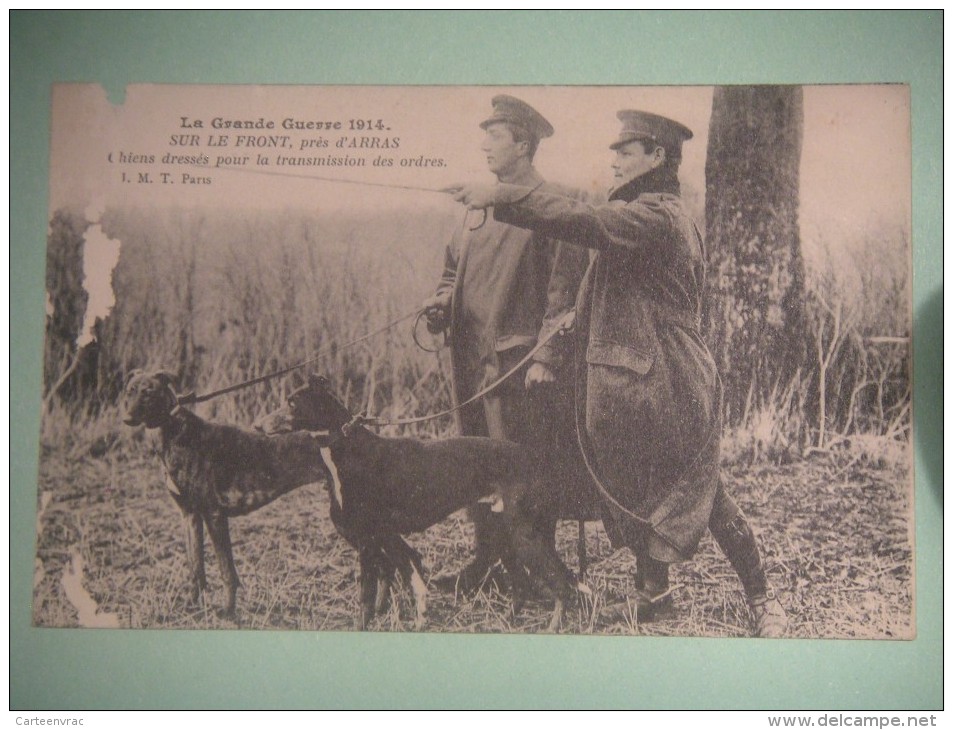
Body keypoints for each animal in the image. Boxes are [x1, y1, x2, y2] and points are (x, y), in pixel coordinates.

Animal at [256, 372, 576, 628]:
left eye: (292, 402)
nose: (258, 426)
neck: (346, 446)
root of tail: (535, 460)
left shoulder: (367, 541)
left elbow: (367, 593)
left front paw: (364, 625)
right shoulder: (382, 537)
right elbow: (396, 575)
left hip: (524, 535)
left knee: (561, 581)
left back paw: (553, 626)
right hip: (503, 534)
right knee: (522, 585)